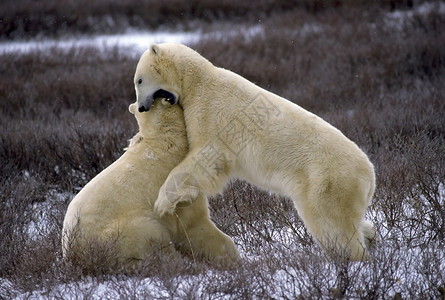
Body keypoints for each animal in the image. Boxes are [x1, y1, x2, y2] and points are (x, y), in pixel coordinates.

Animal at [62, 99, 239, 272]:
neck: (166, 141)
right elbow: (195, 225)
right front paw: (234, 260)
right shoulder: (176, 189)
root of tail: (73, 254)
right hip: (121, 232)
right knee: (153, 237)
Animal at [134, 43, 374, 262]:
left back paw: (351, 257)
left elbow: (206, 157)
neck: (199, 82)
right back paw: (371, 234)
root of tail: (369, 175)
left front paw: (162, 203)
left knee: (332, 225)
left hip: (327, 182)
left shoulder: (213, 114)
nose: (141, 107)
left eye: (139, 80)